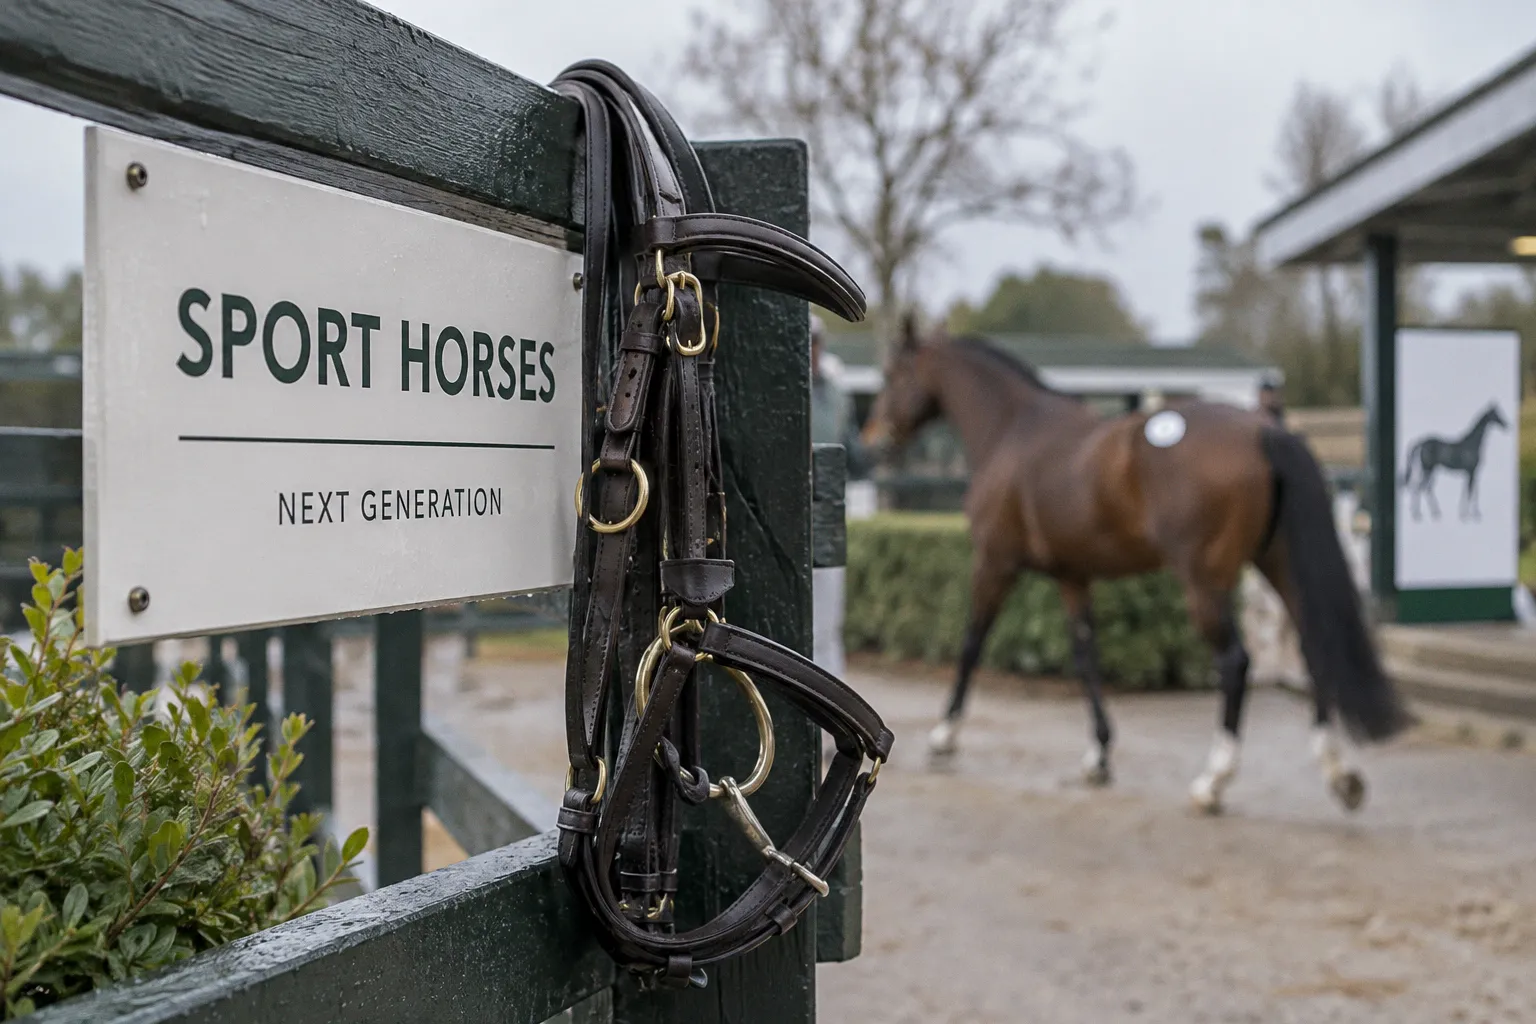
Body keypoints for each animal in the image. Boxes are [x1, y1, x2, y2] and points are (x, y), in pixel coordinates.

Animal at [860, 321, 1409, 813]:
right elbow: (1085, 655)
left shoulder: (995, 563)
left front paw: (943, 736)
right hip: (1277, 565)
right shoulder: (1072, 576)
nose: (873, 438)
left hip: (1205, 581)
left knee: (1236, 662)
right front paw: (1098, 755)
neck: (1012, 429)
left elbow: (973, 641)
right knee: (1315, 650)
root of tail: (1262, 431)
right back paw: (1341, 775)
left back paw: (1213, 780)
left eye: (892, 373)